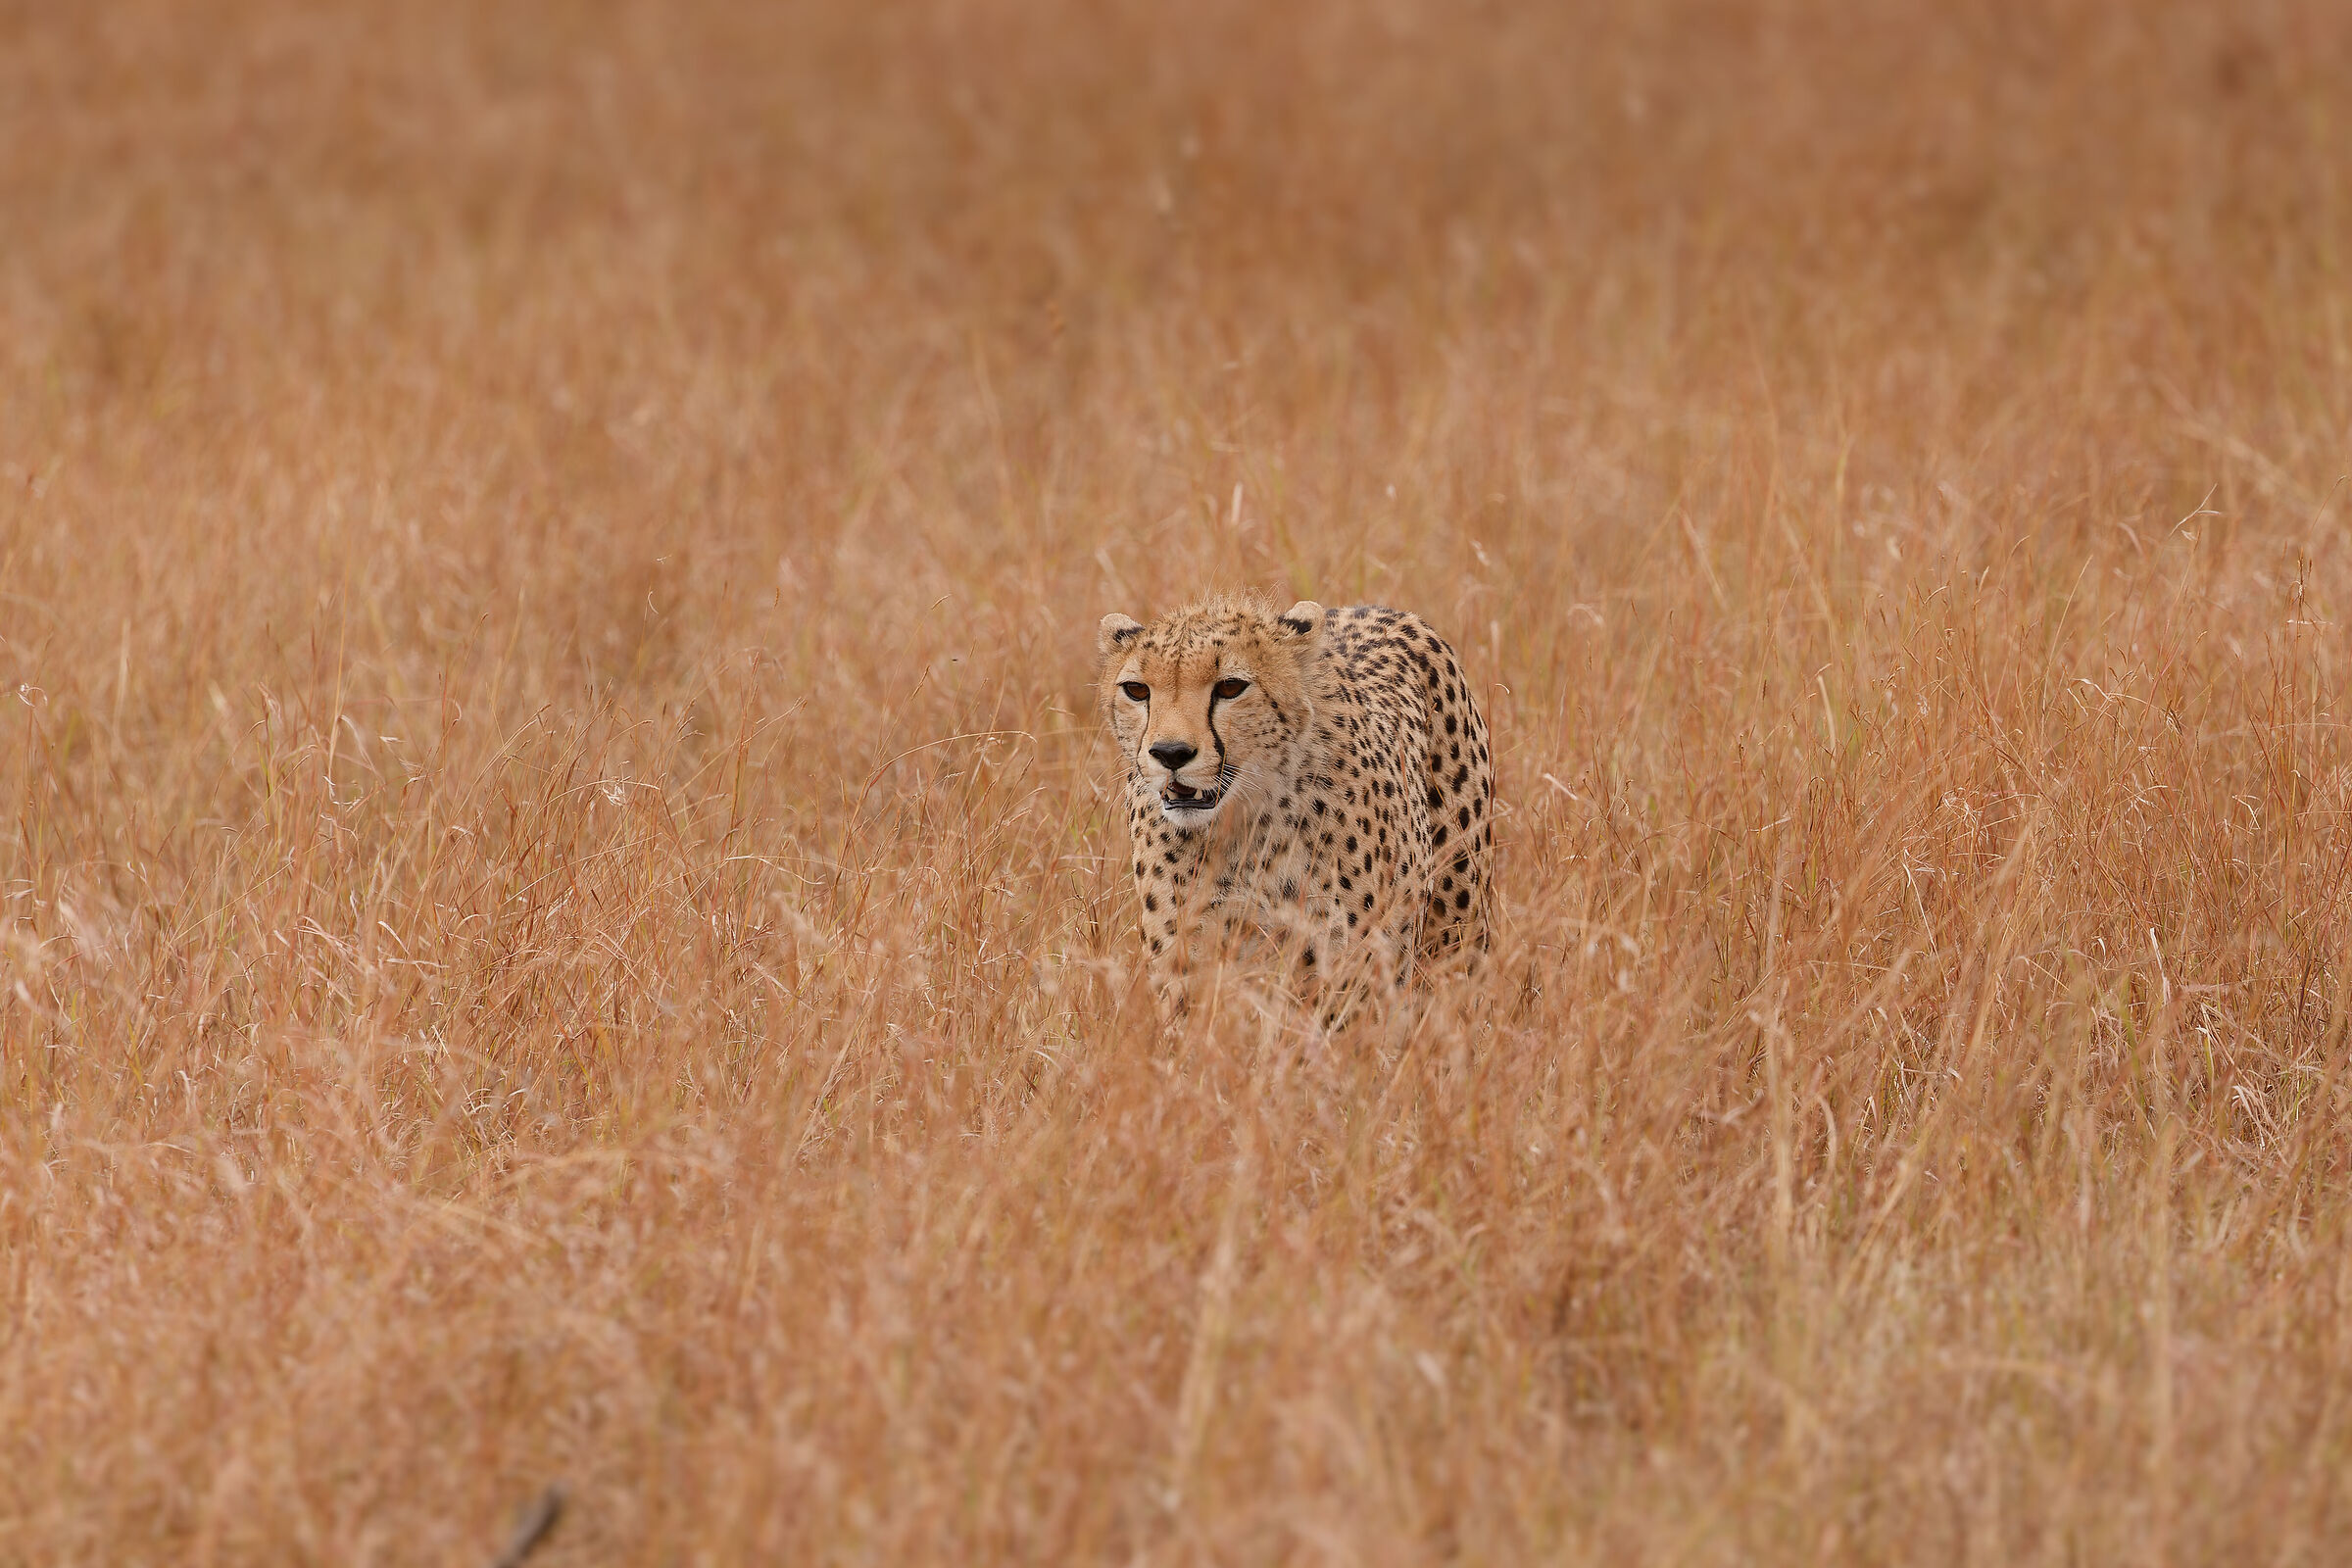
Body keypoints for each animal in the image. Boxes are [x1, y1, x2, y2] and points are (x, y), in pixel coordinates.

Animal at [1096, 591, 1494, 1023]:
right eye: (1137, 690)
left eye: (1231, 687)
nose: (1170, 753)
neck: (1246, 827)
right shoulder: (1190, 962)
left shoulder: (1350, 971)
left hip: (1456, 931)